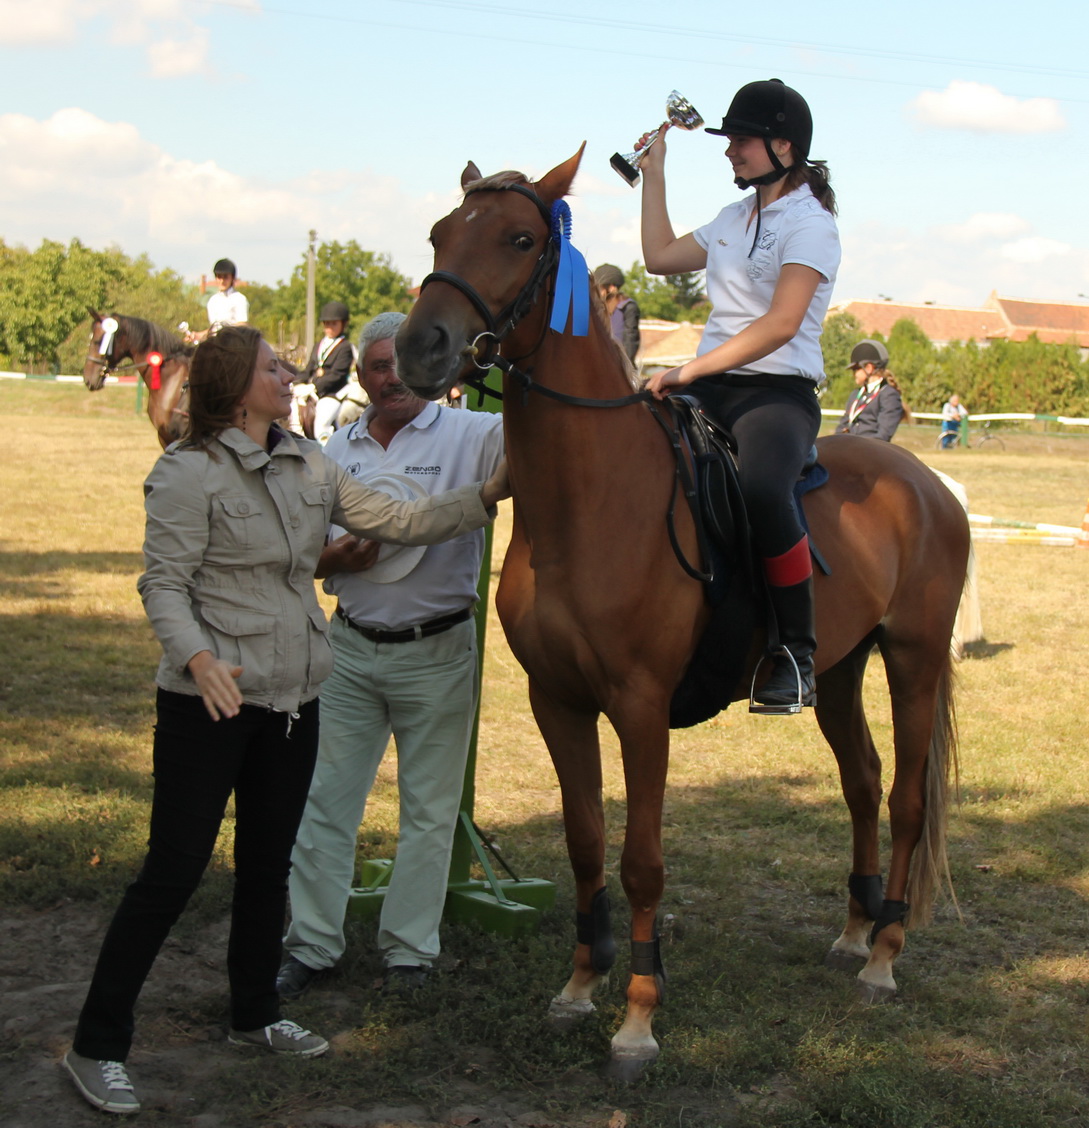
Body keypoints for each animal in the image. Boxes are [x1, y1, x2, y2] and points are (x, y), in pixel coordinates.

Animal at [395, 148, 970, 1078]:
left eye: (519, 239)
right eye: (440, 234)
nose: (418, 348)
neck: (590, 500)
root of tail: (925, 483)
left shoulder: (638, 708)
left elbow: (640, 862)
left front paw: (636, 1016)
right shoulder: (557, 700)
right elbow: (585, 839)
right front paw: (578, 986)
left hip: (912, 660)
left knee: (908, 799)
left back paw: (882, 958)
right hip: (841, 668)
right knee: (862, 781)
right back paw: (853, 931)